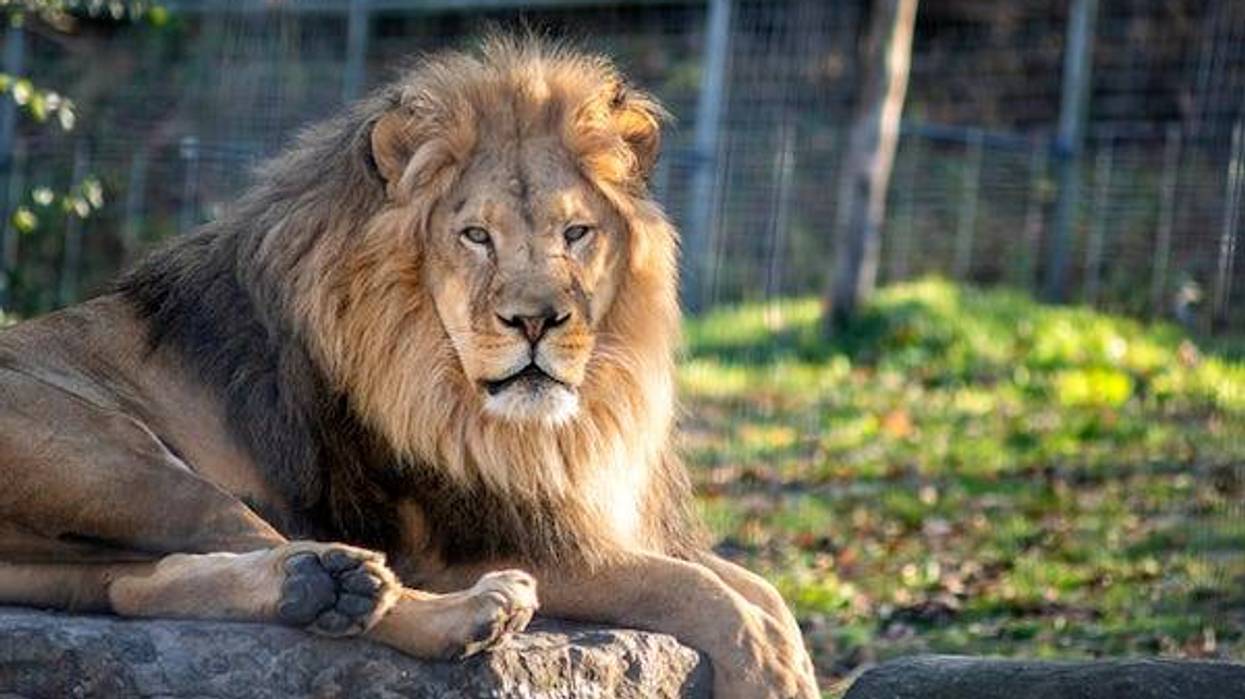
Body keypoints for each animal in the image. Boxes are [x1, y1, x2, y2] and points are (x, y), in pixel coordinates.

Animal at [0, 36, 817, 698]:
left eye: (576, 233)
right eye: (476, 235)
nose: (535, 321)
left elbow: (760, 590)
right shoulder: (469, 540)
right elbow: (706, 594)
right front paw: (768, 673)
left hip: (78, 553)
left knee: (140, 583)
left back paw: (316, 588)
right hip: (124, 465)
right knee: (286, 553)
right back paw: (456, 608)